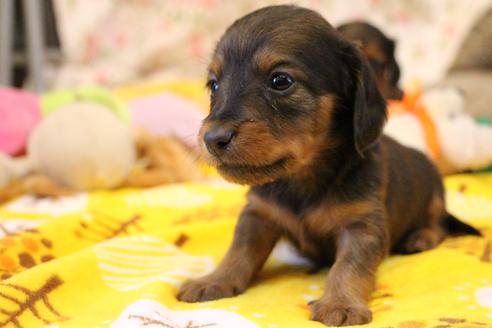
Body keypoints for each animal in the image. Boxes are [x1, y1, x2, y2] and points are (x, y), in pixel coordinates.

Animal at [178, 5, 480, 326]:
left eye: (280, 81)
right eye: (213, 84)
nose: (212, 139)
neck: (301, 179)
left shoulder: (362, 226)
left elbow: (349, 267)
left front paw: (341, 303)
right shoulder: (258, 215)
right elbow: (239, 251)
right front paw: (214, 280)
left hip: (434, 191)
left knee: (439, 221)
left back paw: (421, 237)